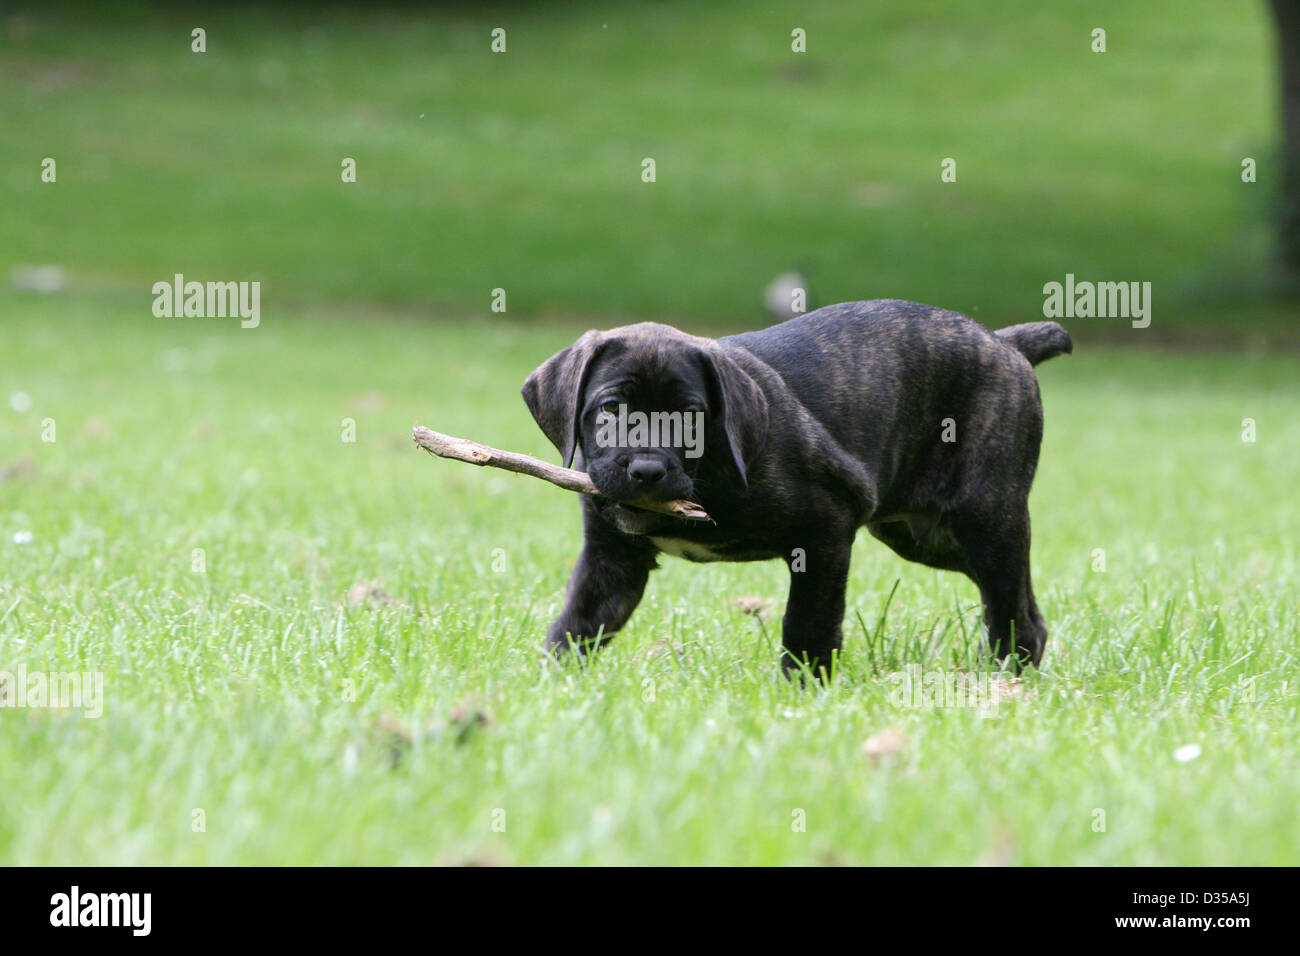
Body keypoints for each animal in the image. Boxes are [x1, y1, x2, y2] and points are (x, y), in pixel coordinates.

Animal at [522, 295, 1071, 676]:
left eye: (692, 416)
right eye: (610, 409)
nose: (647, 471)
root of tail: (1006, 342)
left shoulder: (825, 532)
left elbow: (809, 621)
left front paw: (802, 691)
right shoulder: (612, 560)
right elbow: (578, 624)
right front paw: (552, 686)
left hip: (985, 516)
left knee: (1009, 604)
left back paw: (1006, 677)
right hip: (923, 536)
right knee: (1023, 604)